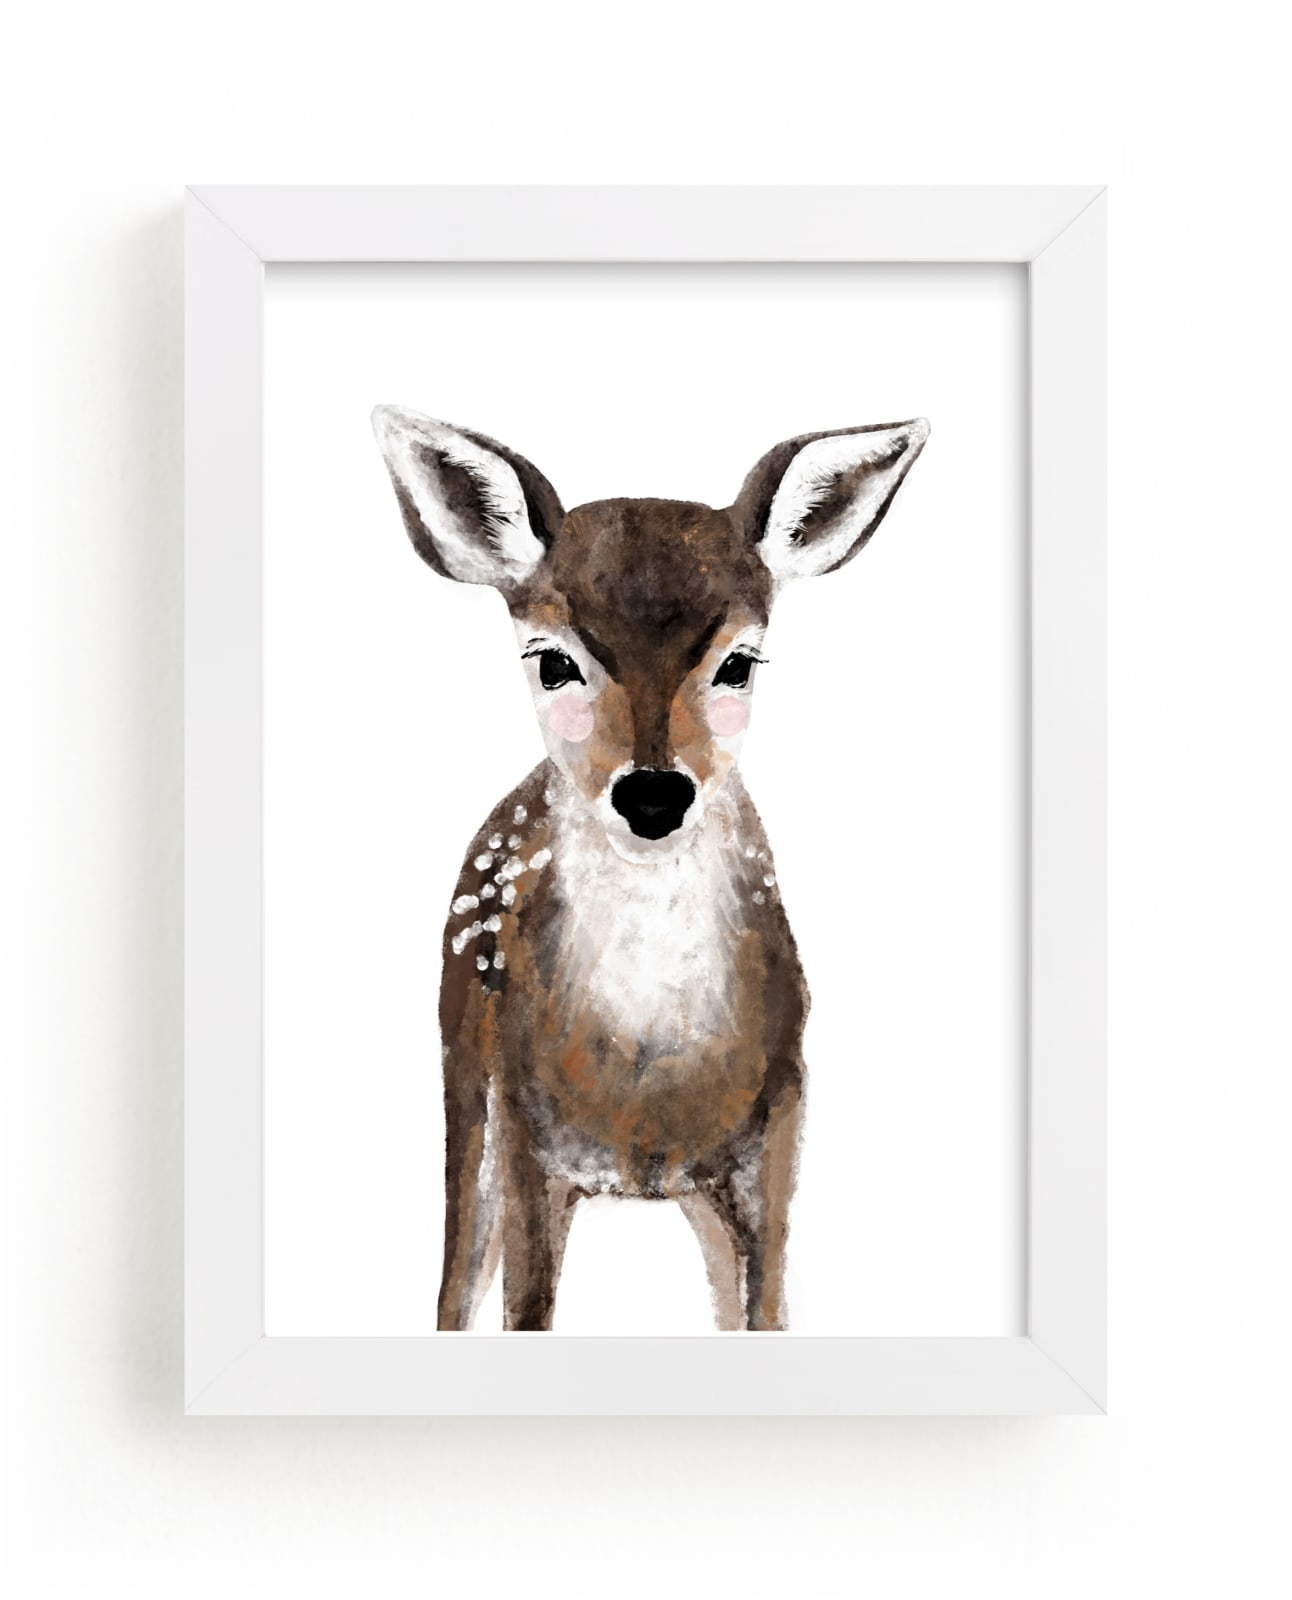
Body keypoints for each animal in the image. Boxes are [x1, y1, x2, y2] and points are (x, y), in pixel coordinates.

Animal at [372, 405, 929, 1331]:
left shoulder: (779, 1121)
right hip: (462, 1072)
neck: (648, 1074)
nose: (655, 794)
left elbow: (766, 1310)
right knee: (454, 1282)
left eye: (739, 662)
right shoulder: (524, 1129)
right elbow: (524, 1309)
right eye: (552, 660)